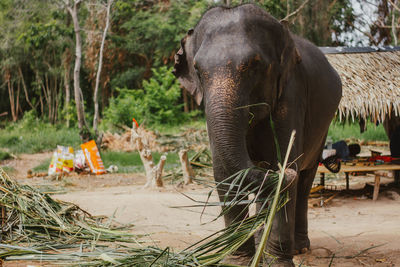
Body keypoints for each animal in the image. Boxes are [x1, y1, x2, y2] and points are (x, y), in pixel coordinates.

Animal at [173, 3, 342, 266]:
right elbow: (225, 173)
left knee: (304, 180)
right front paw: (238, 261)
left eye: (255, 64)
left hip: (323, 127)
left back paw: (299, 247)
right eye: (198, 70)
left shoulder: (291, 94)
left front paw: (277, 262)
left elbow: (284, 163)